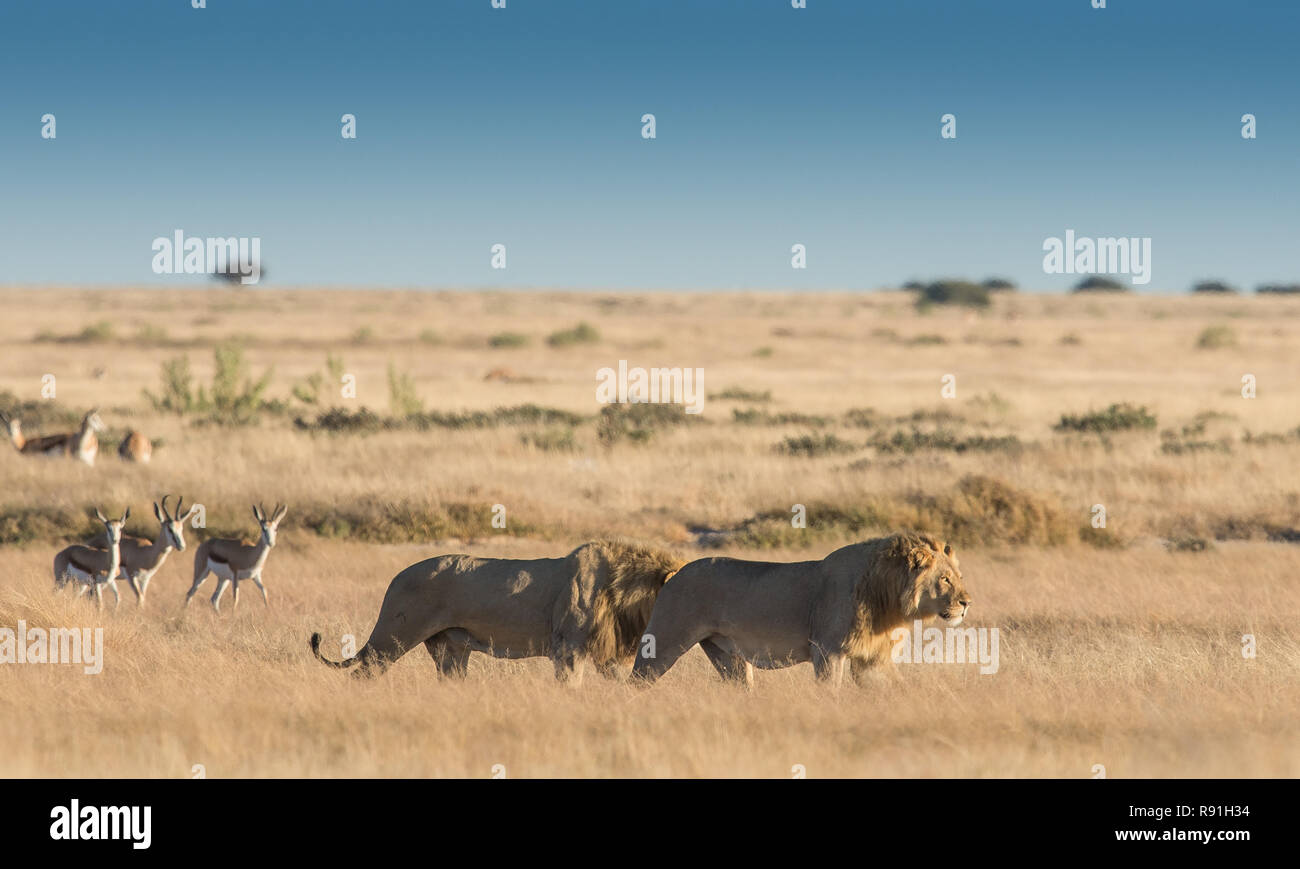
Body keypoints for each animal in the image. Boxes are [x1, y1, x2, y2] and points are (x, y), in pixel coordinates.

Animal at [310, 535, 686, 686]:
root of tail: (396, 577)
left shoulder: (603, 652)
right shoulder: (568, 647)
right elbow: (570, 684)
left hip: (450, 648)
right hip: (394, 636)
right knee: (362, 673)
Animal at [624, 530, 972, 686]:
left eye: (959, 577)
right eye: (944, 579)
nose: (966, 603)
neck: (888, 602)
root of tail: (675, 571)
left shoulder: (873, 657)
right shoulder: (827, 651)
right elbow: (830, 692)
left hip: (726, 655)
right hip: (664, 642)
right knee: (635, 680)